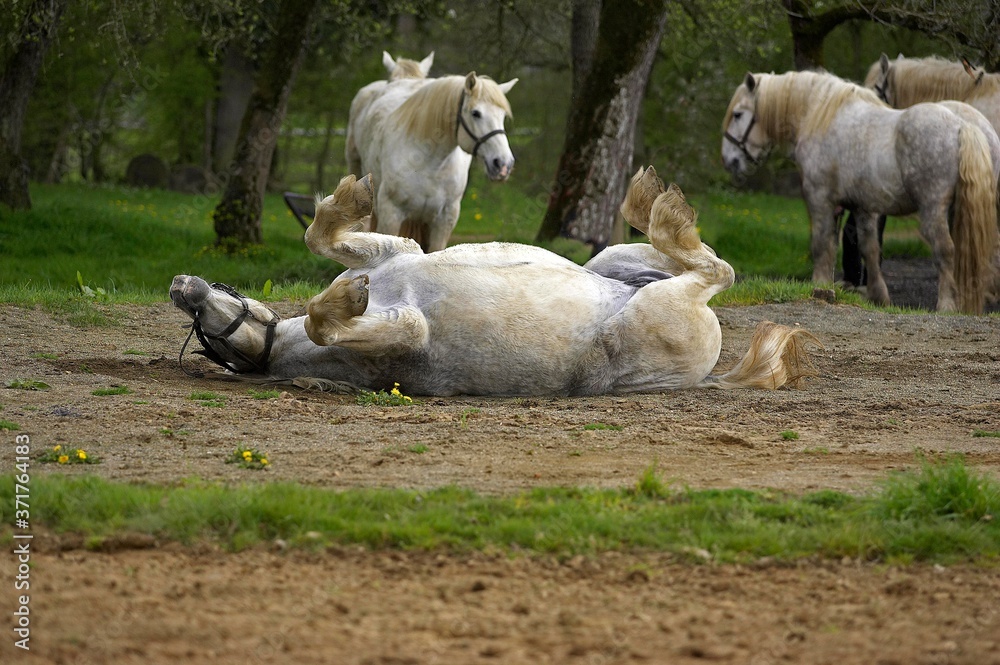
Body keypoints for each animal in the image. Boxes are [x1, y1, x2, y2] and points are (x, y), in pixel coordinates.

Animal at [170, 169, 817, 396]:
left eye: (206, 323)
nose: (181, 286)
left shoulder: (397, 253)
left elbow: (320, 236)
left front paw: (351, 201)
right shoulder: (408, 331)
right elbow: (328, 320)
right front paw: (344, 297)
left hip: (616, 261)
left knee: (711, 267)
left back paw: (650, 202)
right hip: (654, 305)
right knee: (713, 272)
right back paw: (658, 209)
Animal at [345, 69, 517, 252]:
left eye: (502, 116)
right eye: (476, 113)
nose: (503, 164)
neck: (430, 164)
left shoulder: (444, 221)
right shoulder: (391, 215)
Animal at [722, 70, 999, 314]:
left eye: (737, 114)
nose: (729, 161)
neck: (820, 117)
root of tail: (963, 126)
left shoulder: (820, 200)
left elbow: (822, 246)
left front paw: (819, 286)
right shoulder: (863, 207)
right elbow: (869, 249)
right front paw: (879, 296)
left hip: (933, 209)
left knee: (946, 251)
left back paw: (947, 305)